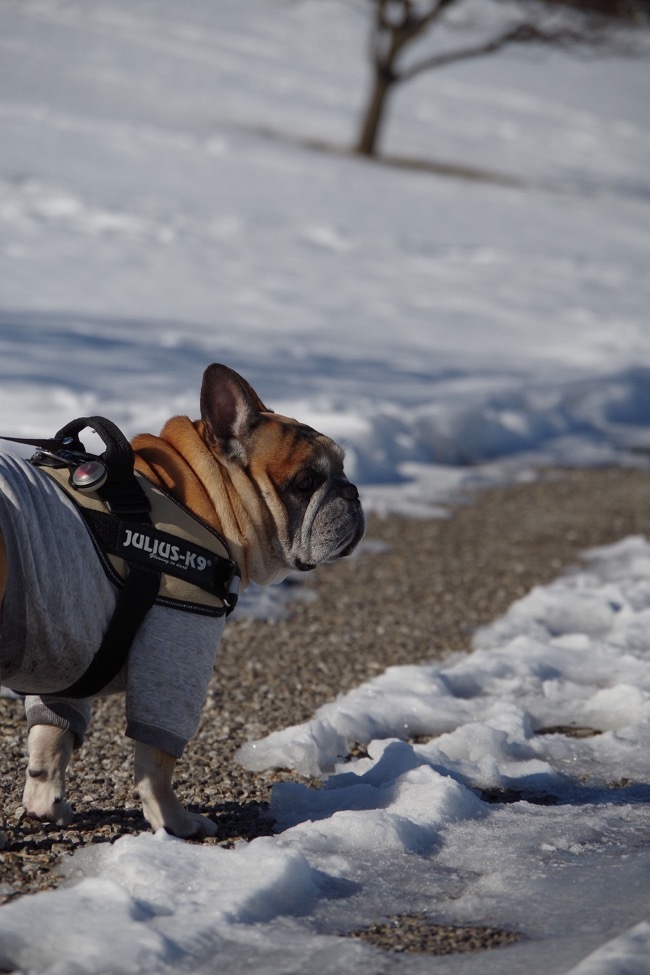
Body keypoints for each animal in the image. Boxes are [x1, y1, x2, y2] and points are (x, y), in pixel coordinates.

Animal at [0, 366, 364, 840]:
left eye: (342, 468)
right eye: (305, 483)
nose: (352, 492)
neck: (197, 496)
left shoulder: (68, 666)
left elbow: (51, 736)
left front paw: (46, 802)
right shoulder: (174, 648)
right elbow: (157, 760)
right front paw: (172, 821)